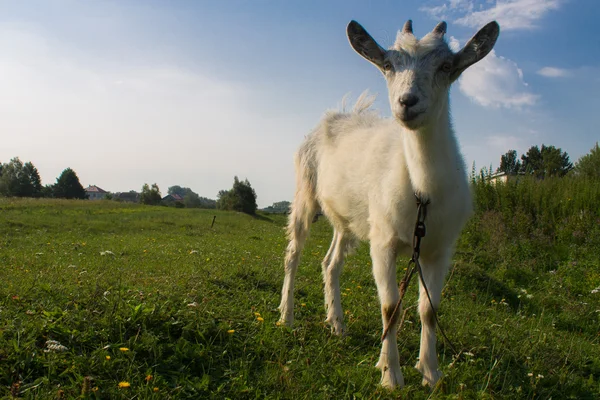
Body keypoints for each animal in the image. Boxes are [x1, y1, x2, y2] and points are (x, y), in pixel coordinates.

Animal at [278, 18, 500, 388]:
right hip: (305, 193)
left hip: (349, 219)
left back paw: (337, 323)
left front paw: (431, 372)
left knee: (331, 263)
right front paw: (390, 374)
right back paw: (287, 316)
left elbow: (429, 309)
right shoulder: (383, 242)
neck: (422, 192)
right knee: (294, 253)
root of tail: (334, 116)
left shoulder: (439, 249)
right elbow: (390, 308)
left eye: (446, 66)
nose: (407, 102)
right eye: (387, 65)